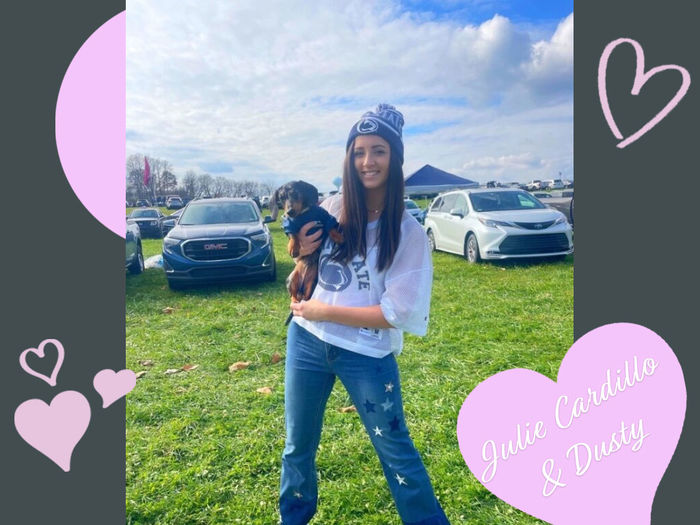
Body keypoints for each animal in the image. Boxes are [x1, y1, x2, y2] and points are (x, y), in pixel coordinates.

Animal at [270, 181, 344, 324]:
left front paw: (338, 237)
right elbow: (293, 234)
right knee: (293, 296)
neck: (303, 214)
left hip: (312, 281)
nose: (289, 212)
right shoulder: (289, 223)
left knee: (306, 295)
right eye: (281, 198)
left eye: (295, 193)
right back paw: (295, 300)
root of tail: (301, 287)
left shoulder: (323, 216)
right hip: (292, 279)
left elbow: (330, 226)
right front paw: (293, 247)